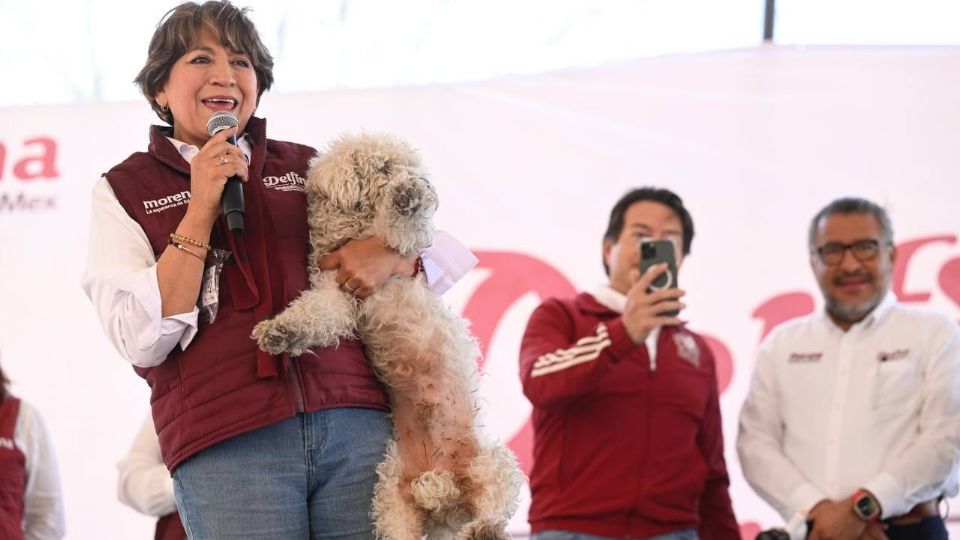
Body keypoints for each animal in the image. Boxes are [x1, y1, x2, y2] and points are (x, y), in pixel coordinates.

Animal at [248, 133, 516, 536]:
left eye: (412, 166)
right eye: (384, 166)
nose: (421, 182)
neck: (353, 230)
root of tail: (445, 493)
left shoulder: (397, 247)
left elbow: (403, 226)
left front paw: (408, 196)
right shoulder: (335, 291)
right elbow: (314, 314)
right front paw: (279, 332)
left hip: (492, 462)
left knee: (492, 506)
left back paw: (485, 528)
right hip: (391, 494)